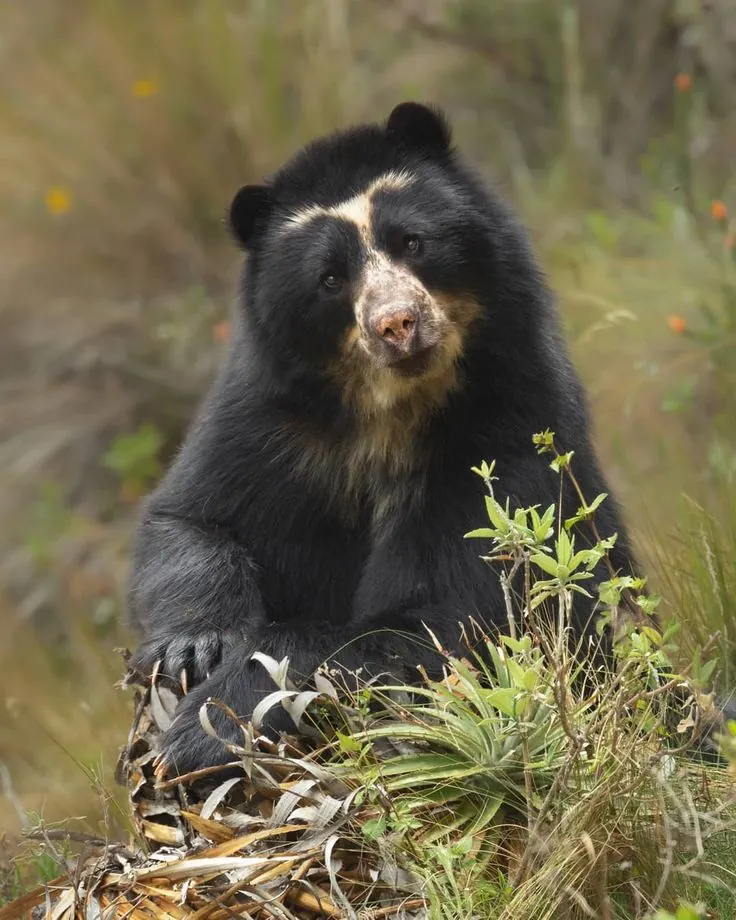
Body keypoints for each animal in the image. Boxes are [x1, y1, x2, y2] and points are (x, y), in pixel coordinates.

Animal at [126, 102, 636, 776]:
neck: (385, 410)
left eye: (413, 242)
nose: (397, 324)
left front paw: (204, 728)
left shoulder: (501, 430)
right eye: (330, 278)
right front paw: (192, 649)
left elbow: (442, 617)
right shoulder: (268, 424)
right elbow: (192, 517)